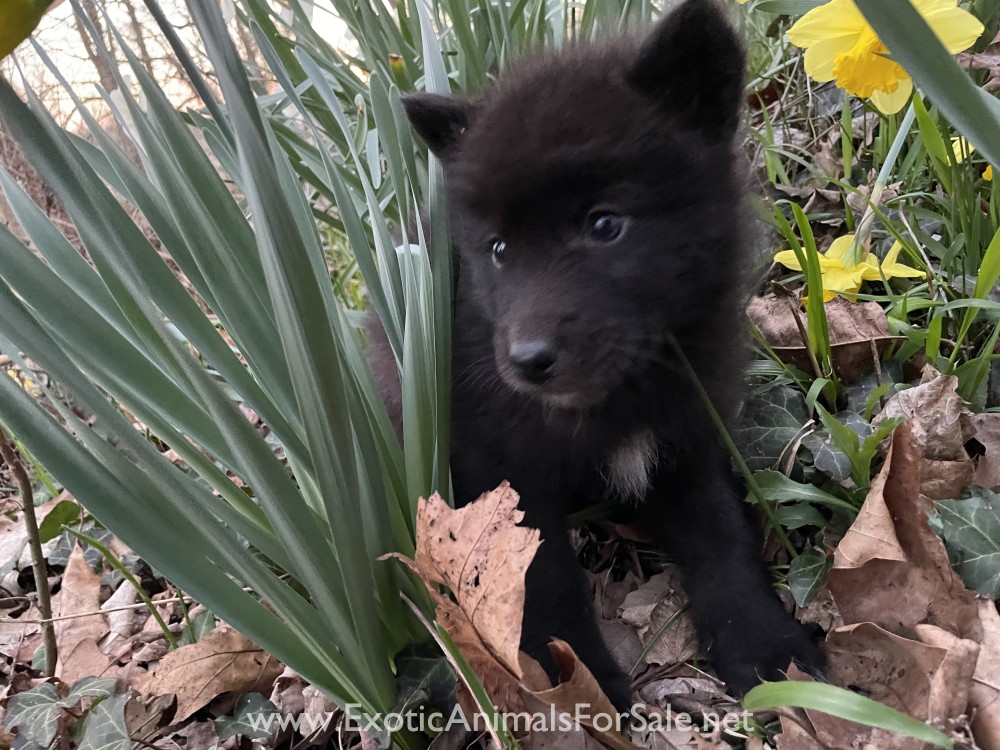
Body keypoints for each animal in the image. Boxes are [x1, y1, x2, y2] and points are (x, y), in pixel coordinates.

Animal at [382, 0, 825, 710]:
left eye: (605, 225)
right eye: (498, 249)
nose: (527, 359)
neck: (623, 393)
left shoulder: (688, 431)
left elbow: (721, 532)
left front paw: (764, 645)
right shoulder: (505, 469)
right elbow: (542, 577)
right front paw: (575, 683)